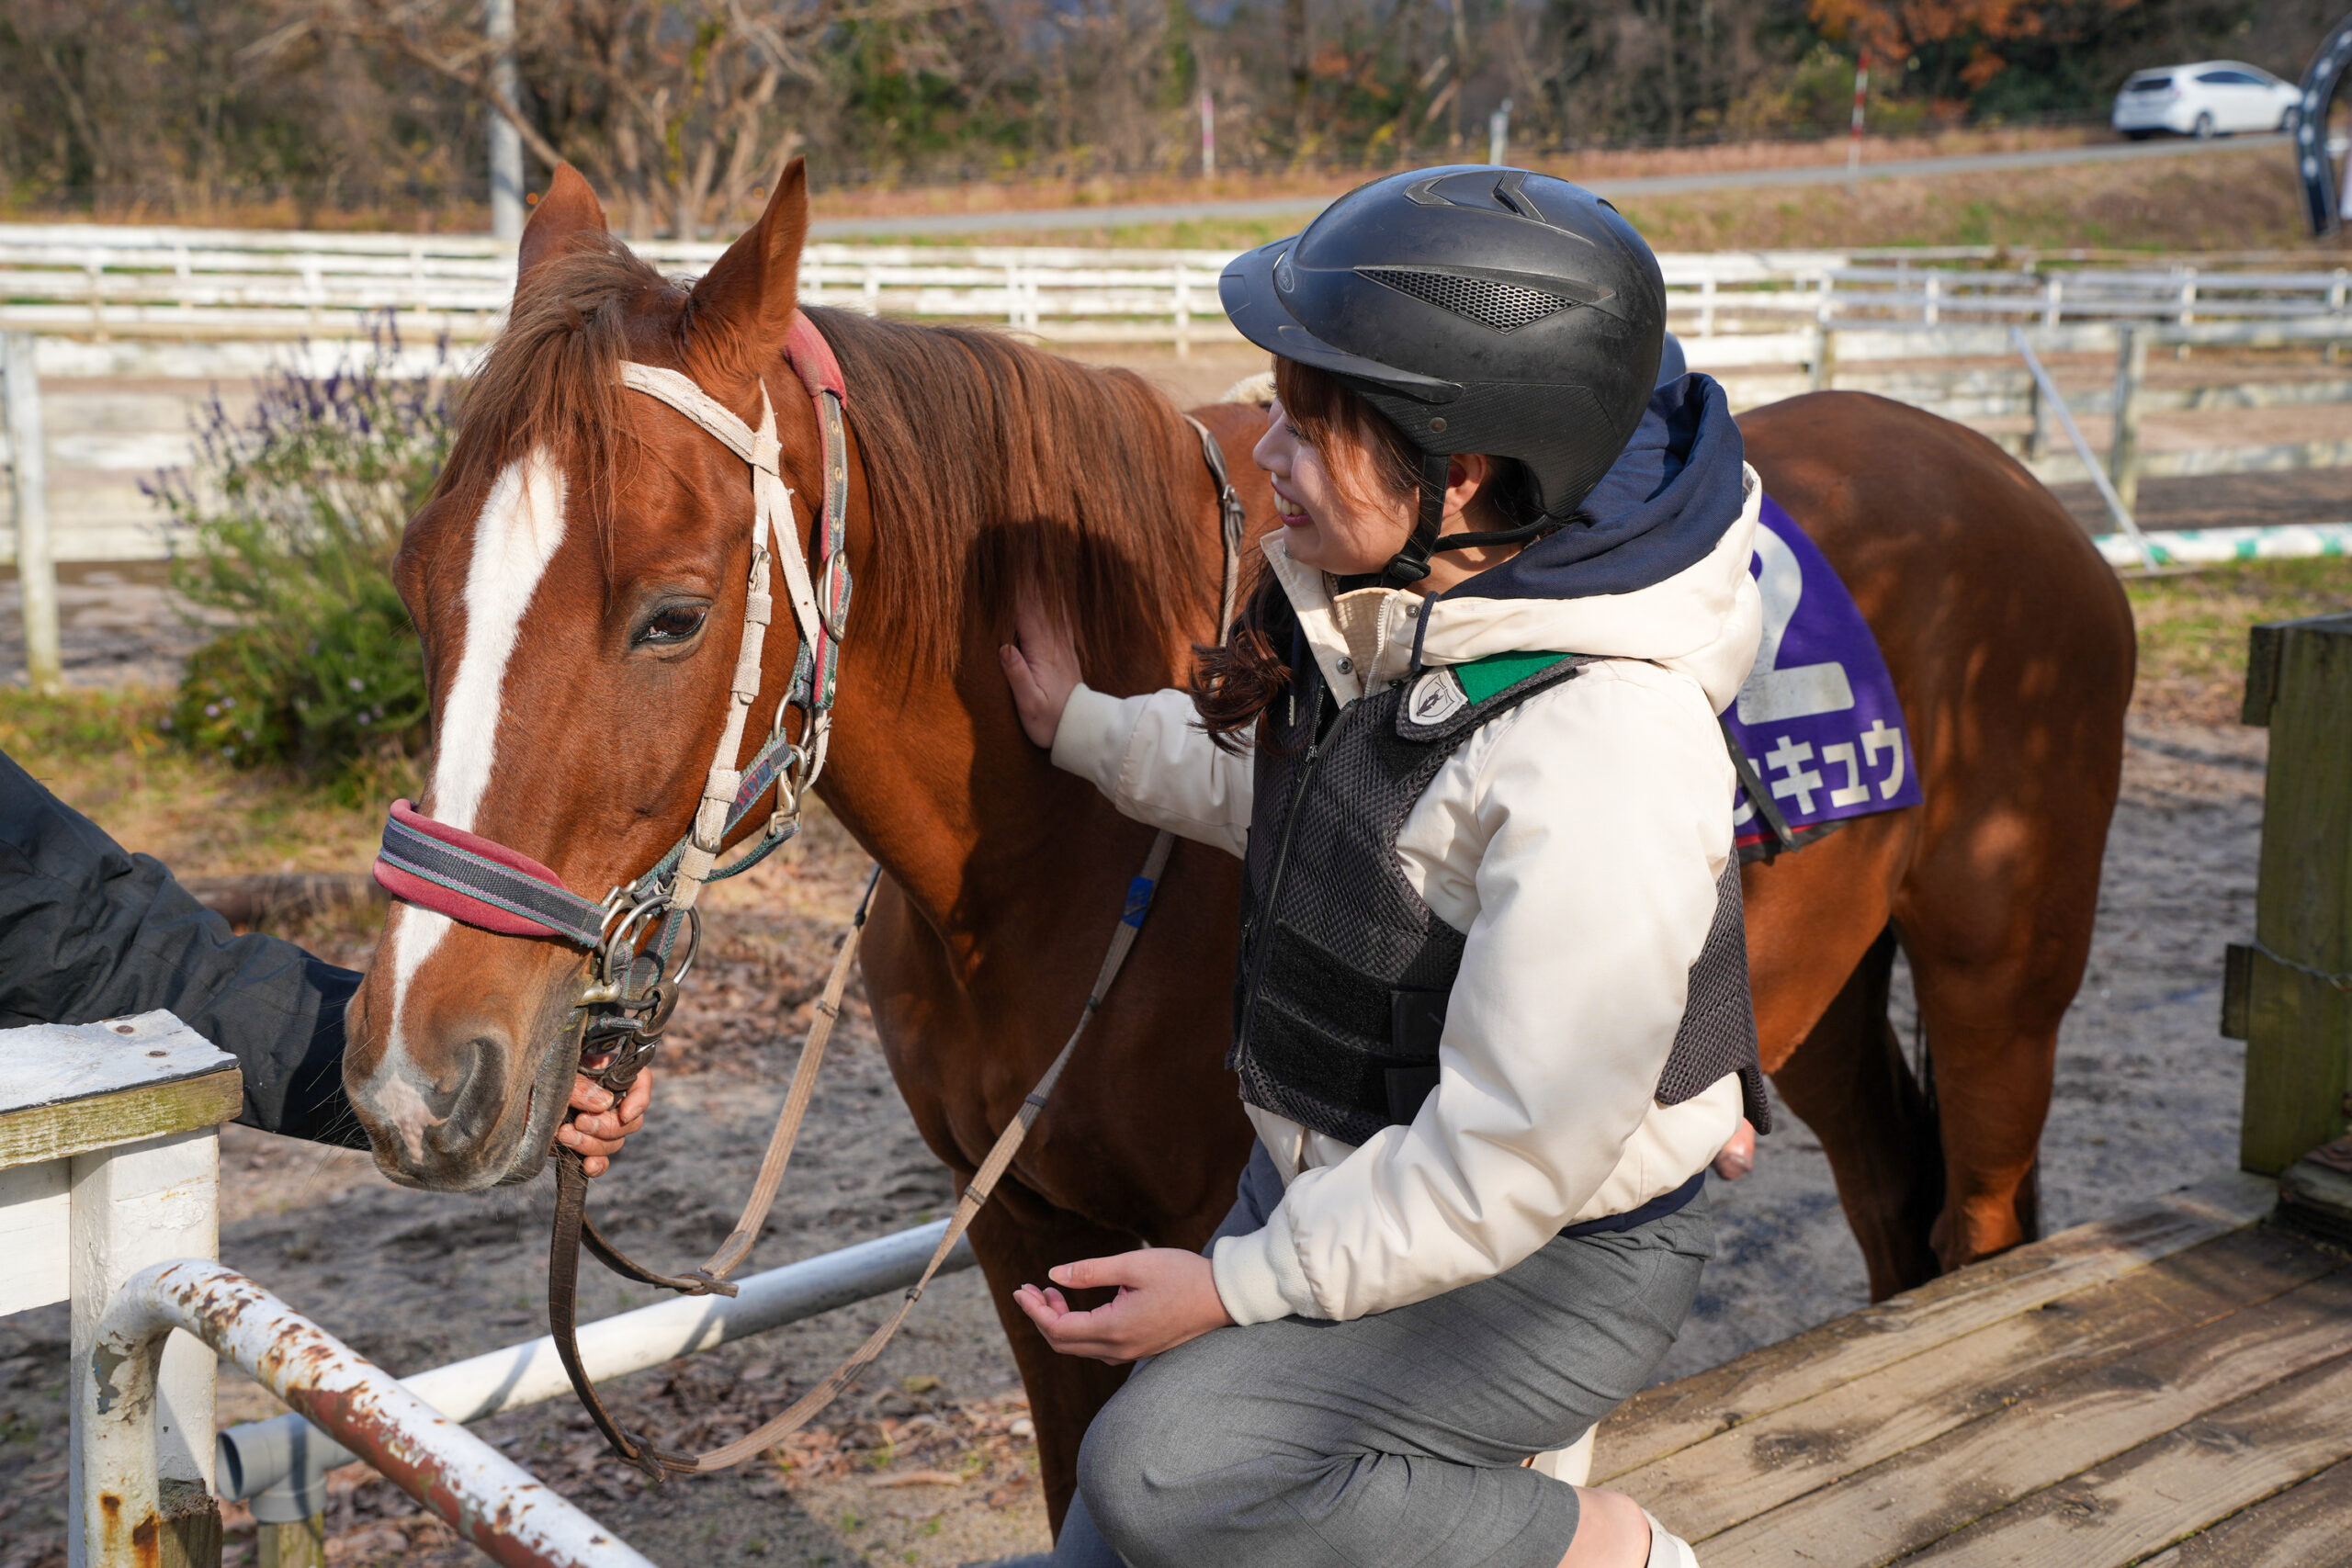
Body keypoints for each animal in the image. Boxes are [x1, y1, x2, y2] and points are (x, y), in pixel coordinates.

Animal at [342, 161, 2136, 1528]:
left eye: (669, 612)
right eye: (417, 588)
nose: (418, 1081)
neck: (1047, 865)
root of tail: (2004, 481)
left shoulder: (1184, 1249)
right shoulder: (1027, 1233)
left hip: (2000, 989)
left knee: (1976, 1223)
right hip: (1818, 1008)